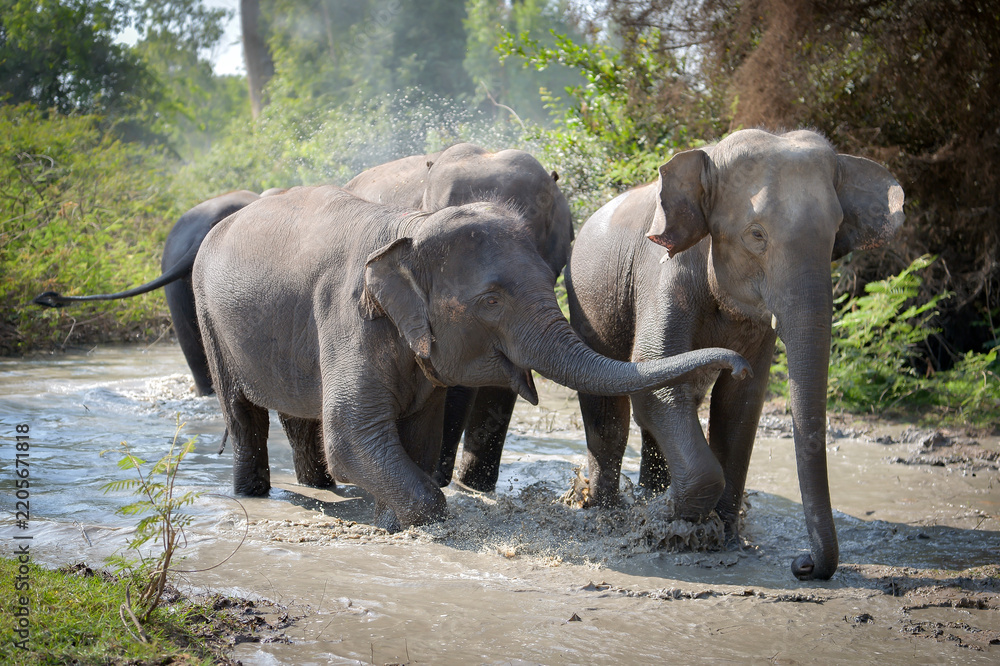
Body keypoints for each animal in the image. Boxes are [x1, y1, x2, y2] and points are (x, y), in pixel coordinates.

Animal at [192, 185, 751, 530]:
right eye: (491, 301)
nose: (739, 365)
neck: (407, 228)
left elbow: (420, 433)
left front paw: (392, 522)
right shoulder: (346, 318)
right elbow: (351, 437)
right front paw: (420, 520)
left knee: (298, 416)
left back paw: (320, 489)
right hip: (207, 316)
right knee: (244, 416)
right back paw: (254, 495)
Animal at [565, 129, 904, 580]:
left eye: (835, 233)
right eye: (756, 235)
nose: (803, 564)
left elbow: (741, 405)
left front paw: (723, 538)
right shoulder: (663, 273)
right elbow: (652, 377)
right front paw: (668, 523)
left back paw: (648, 497)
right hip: (585, 305)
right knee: (611, 415)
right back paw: (606, 513)